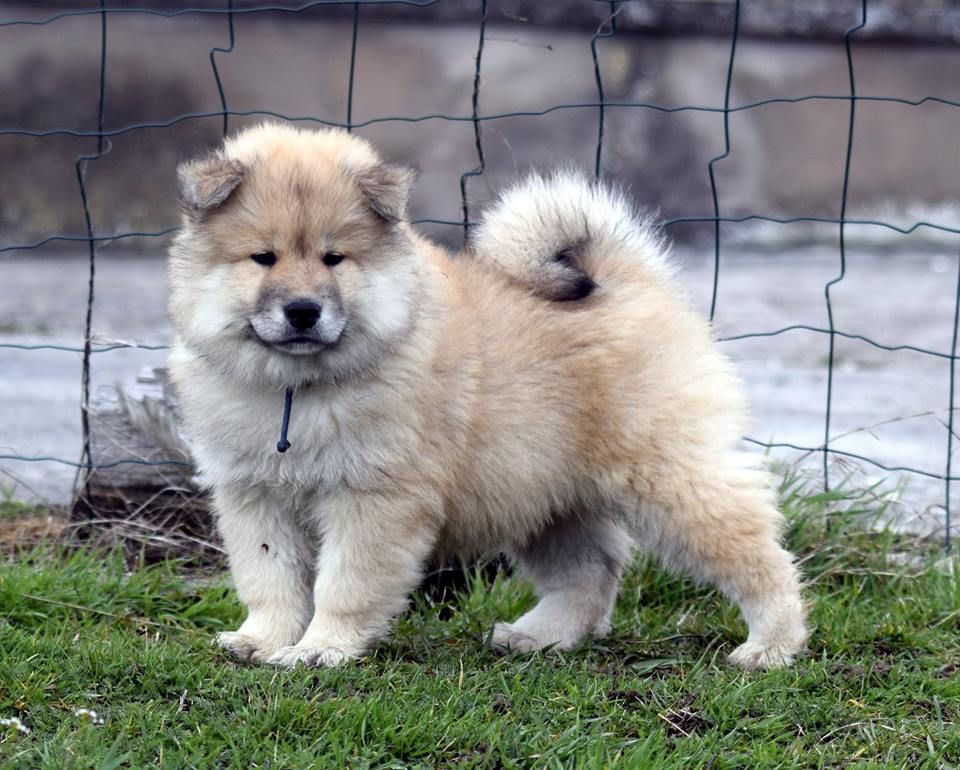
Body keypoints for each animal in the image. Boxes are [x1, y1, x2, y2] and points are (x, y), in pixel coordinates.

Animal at [169, 123, 808, 668]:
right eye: (263, 257)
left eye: (334, 258)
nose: (303, 311)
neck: (295, 387)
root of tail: (625, 281)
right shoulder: (254, 494)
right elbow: (269, 578)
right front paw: (261, 641)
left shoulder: (372, 497)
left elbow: (344, 583)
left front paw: (321, 649)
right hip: (547, 495)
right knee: (592, 570)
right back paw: (537, 637)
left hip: (666, 474)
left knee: (756, 550)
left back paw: (772, 644)